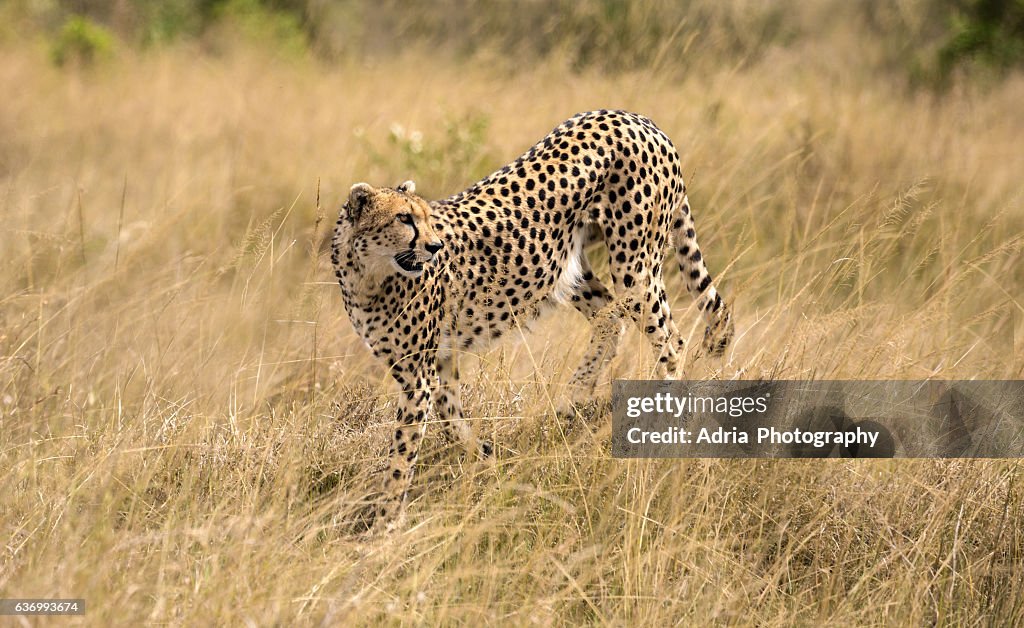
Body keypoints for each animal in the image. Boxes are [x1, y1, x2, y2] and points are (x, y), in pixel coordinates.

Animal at [331, 110, 733, 524]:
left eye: (426, 219)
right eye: (404, 219)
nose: (435, 246)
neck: (367, 274)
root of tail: (635, 118)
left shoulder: (418, 376)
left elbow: (403, 452)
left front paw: (387, 519)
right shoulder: (437, 361)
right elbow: (449, 417)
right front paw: (485, 458)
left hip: (634, 267)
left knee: (670, 340)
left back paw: (658, 416)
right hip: (569, 269)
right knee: (609, 320)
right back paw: (572, 401)